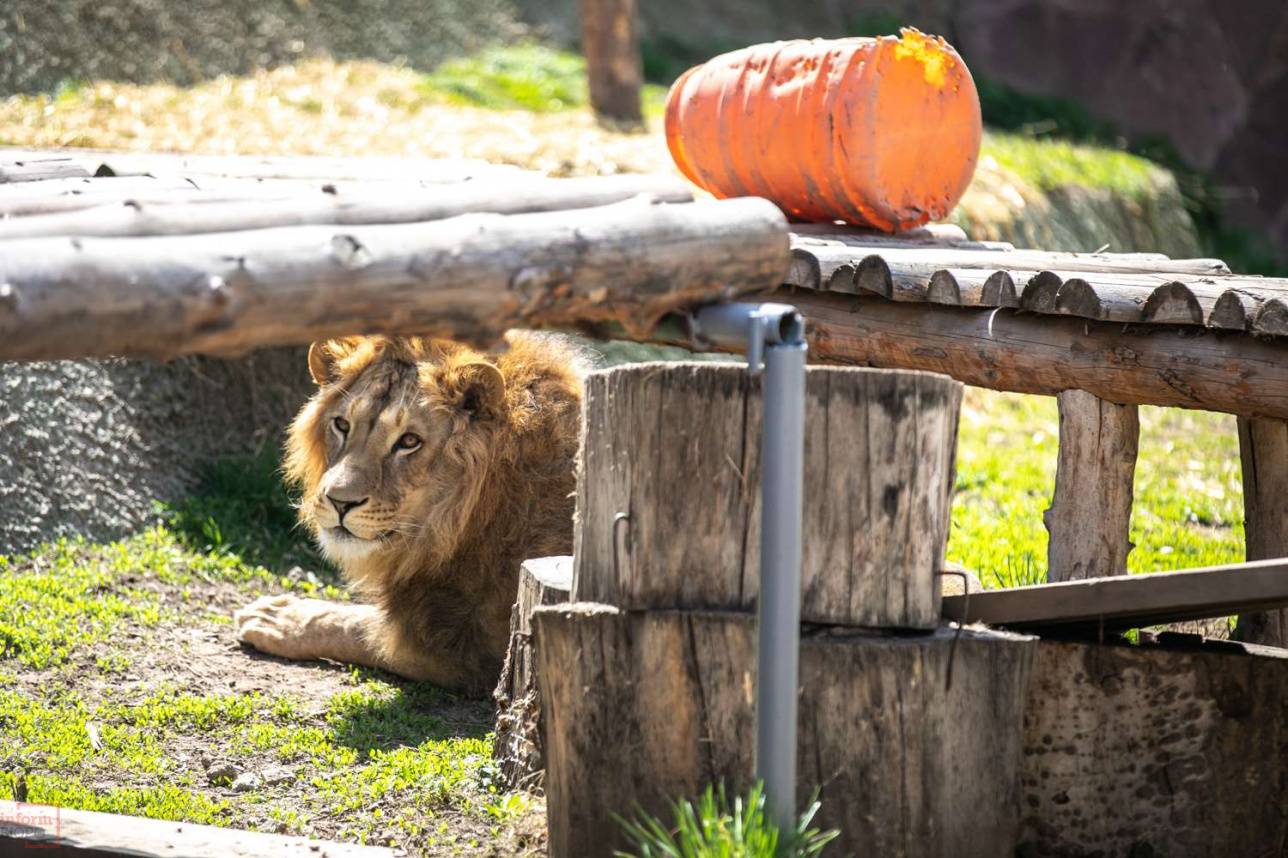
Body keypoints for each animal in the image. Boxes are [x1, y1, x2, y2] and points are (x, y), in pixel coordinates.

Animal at [235, 329, 584, 690]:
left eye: (409, 441)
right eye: (342, 425)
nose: (340, 501)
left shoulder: (468, 647)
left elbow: (361, 628)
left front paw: (278, 616)